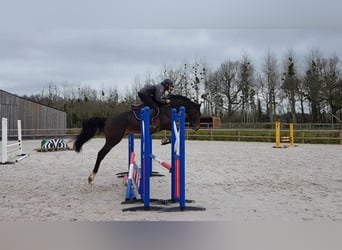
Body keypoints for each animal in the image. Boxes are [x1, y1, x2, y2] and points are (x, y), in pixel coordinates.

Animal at [72, 94, 200, 185]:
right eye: (196, 112)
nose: (197, 128)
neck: (169, 107)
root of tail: (107, 120)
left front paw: (165, 140)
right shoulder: (166, 124)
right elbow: (177, 129)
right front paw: (166, 140)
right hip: (113, 139)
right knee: (101, 154)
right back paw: (91, 177)